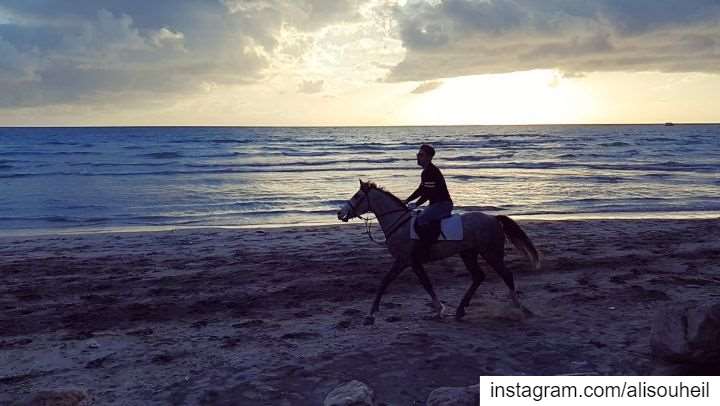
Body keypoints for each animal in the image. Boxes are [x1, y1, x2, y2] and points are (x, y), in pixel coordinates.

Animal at [338, 179, 540, 326]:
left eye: (357, 196)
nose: (340, 214)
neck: (400, 224)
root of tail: (493, 218)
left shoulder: (405, 261)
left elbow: (387, 282)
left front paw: (370, 315)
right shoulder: (411, 262)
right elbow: (423, 283)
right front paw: (439, 309)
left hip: (491, 253)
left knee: (506, 274)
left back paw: (518, 307)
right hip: (469, 254)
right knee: (478, 276)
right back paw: (460, 310)